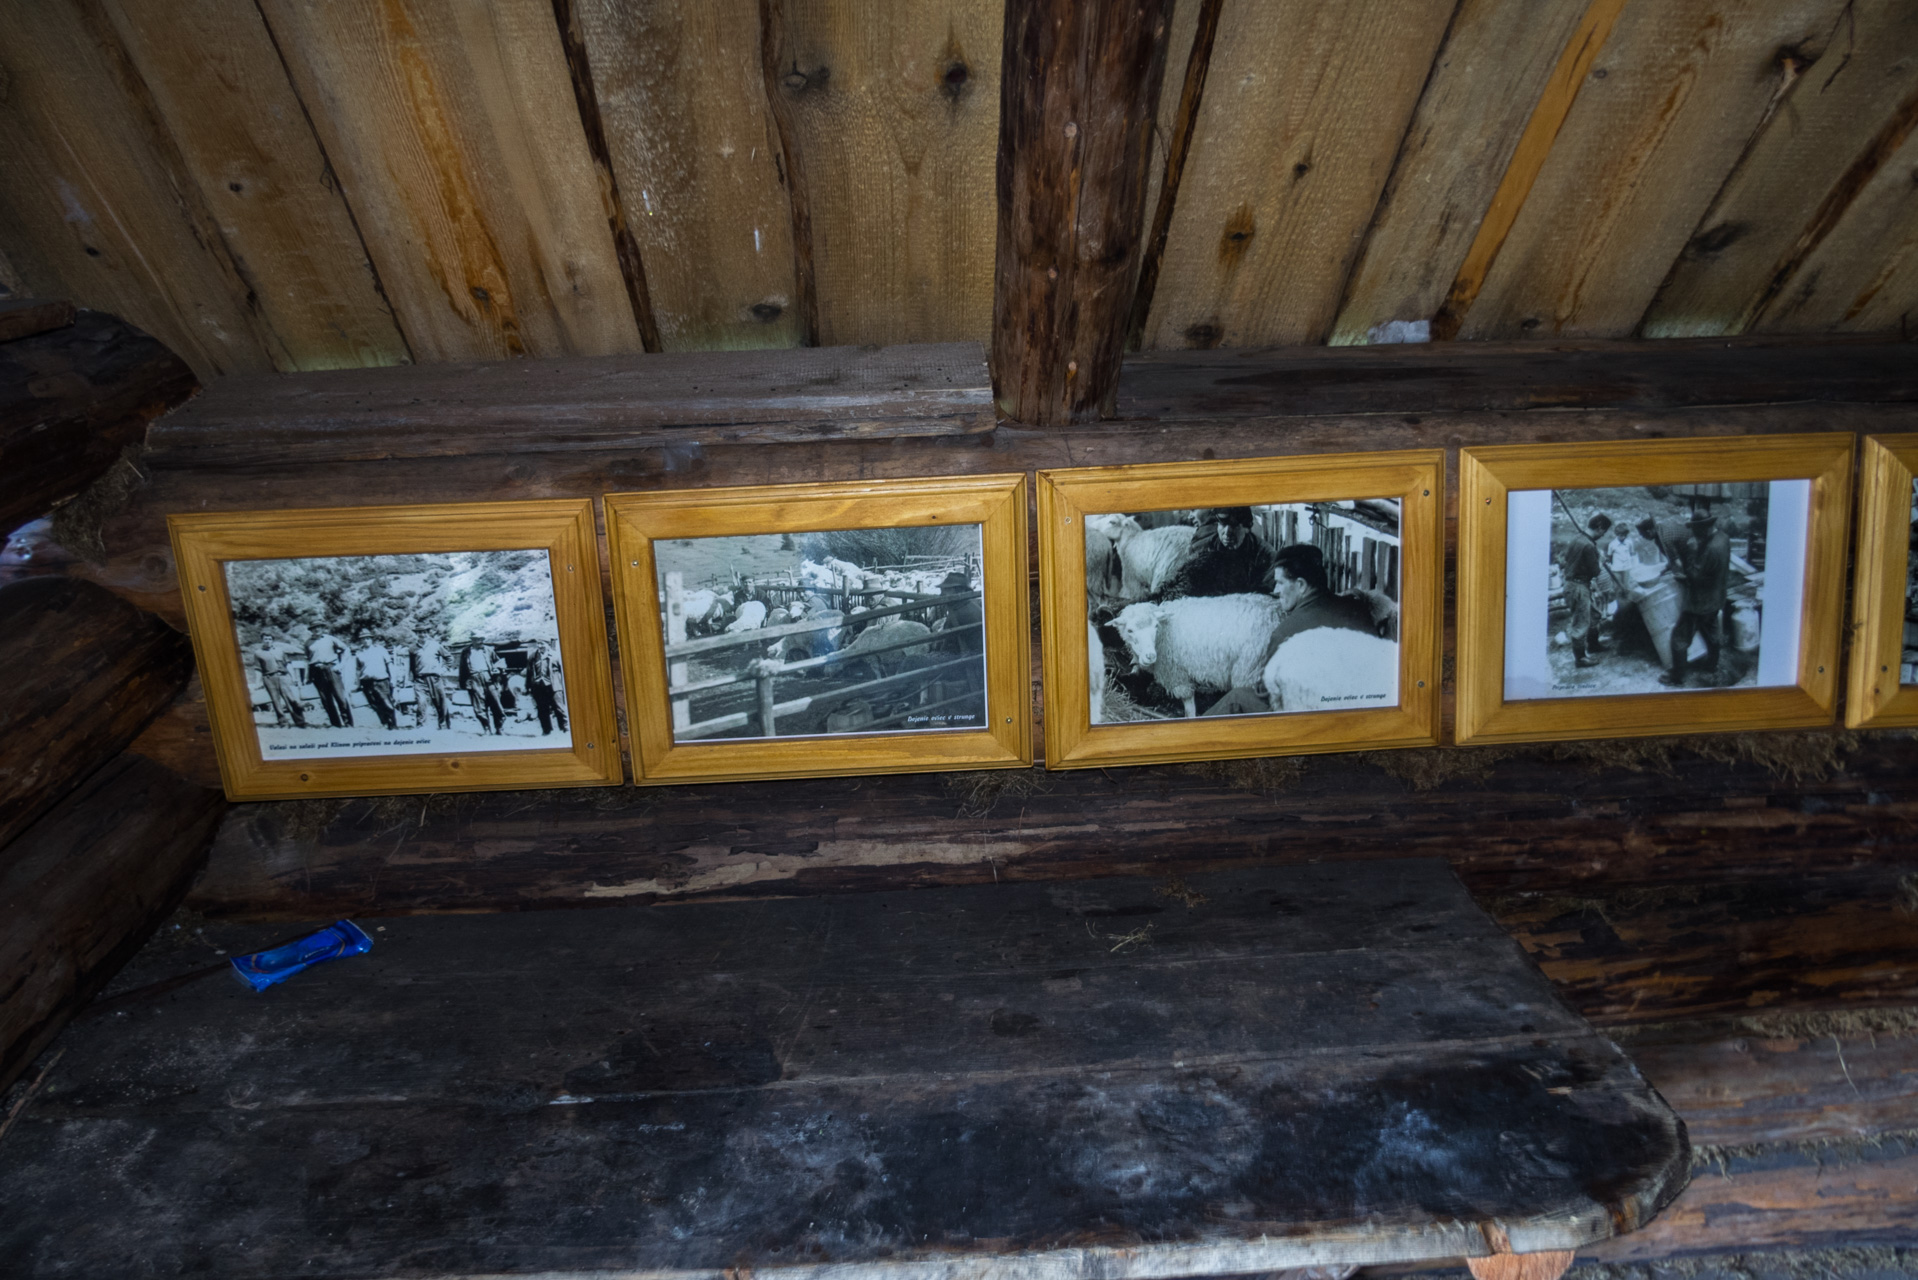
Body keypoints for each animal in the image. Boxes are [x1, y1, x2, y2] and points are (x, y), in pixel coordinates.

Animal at [1120, 594, 1281, 717]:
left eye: (1155, 626)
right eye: (1130, 630)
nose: (1150, 656)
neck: (1165, 630)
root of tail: (1277, 614)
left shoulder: (1176, 672)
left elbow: (1188, 702)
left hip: (1249, 669)